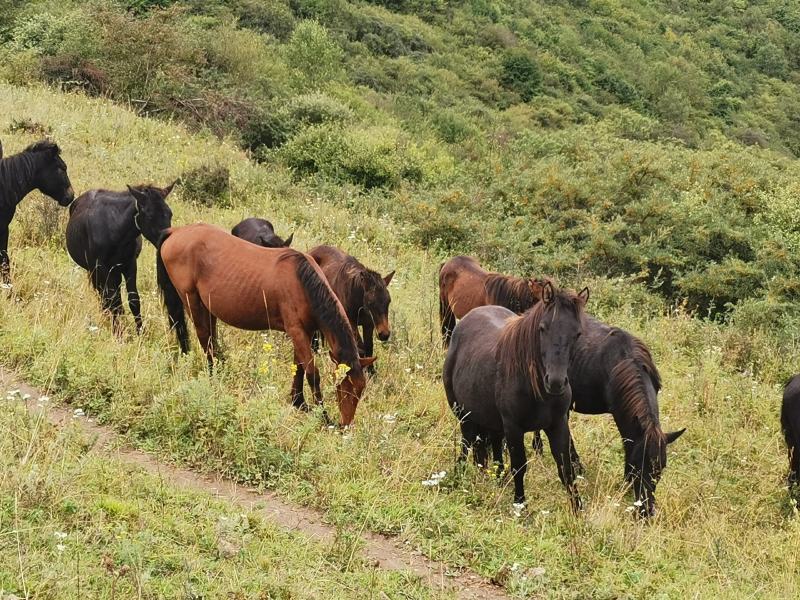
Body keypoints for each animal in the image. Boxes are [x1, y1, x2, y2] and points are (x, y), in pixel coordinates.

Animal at [65, 183, 174, 334]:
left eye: (170, 213)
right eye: (150, 215)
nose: (168, 242)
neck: (115, 231)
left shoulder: (130, 265)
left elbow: (133, 299)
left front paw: (140, 332)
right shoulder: (101, 268)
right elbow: (111, 299)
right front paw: (118, 332)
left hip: (114, 272)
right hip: (97, 271)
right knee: (104, 296)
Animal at [156, 223, 374, 425]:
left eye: (360, 390)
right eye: (345, 388)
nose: (345, 424)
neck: (303, 283)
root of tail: (176, 231)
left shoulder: (304, 332)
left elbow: (299, 368)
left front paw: (298, 402)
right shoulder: (296, 331)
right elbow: (312, 373)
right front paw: (323, 416)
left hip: (207, 306)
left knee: (211, 337)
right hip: (191, 300)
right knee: (204, 337)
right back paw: (213, 376)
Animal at [443, 281, 590, 511]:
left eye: (577, 334)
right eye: (542, 328)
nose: (556, 382)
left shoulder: (558, 425)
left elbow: (566, 469)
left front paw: (577, 510)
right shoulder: (513, 427)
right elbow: (519, 466)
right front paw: (520, 505)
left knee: (493, 444)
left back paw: (498, 477)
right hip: (463, 414)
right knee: (467, 443)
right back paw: (461, 474)